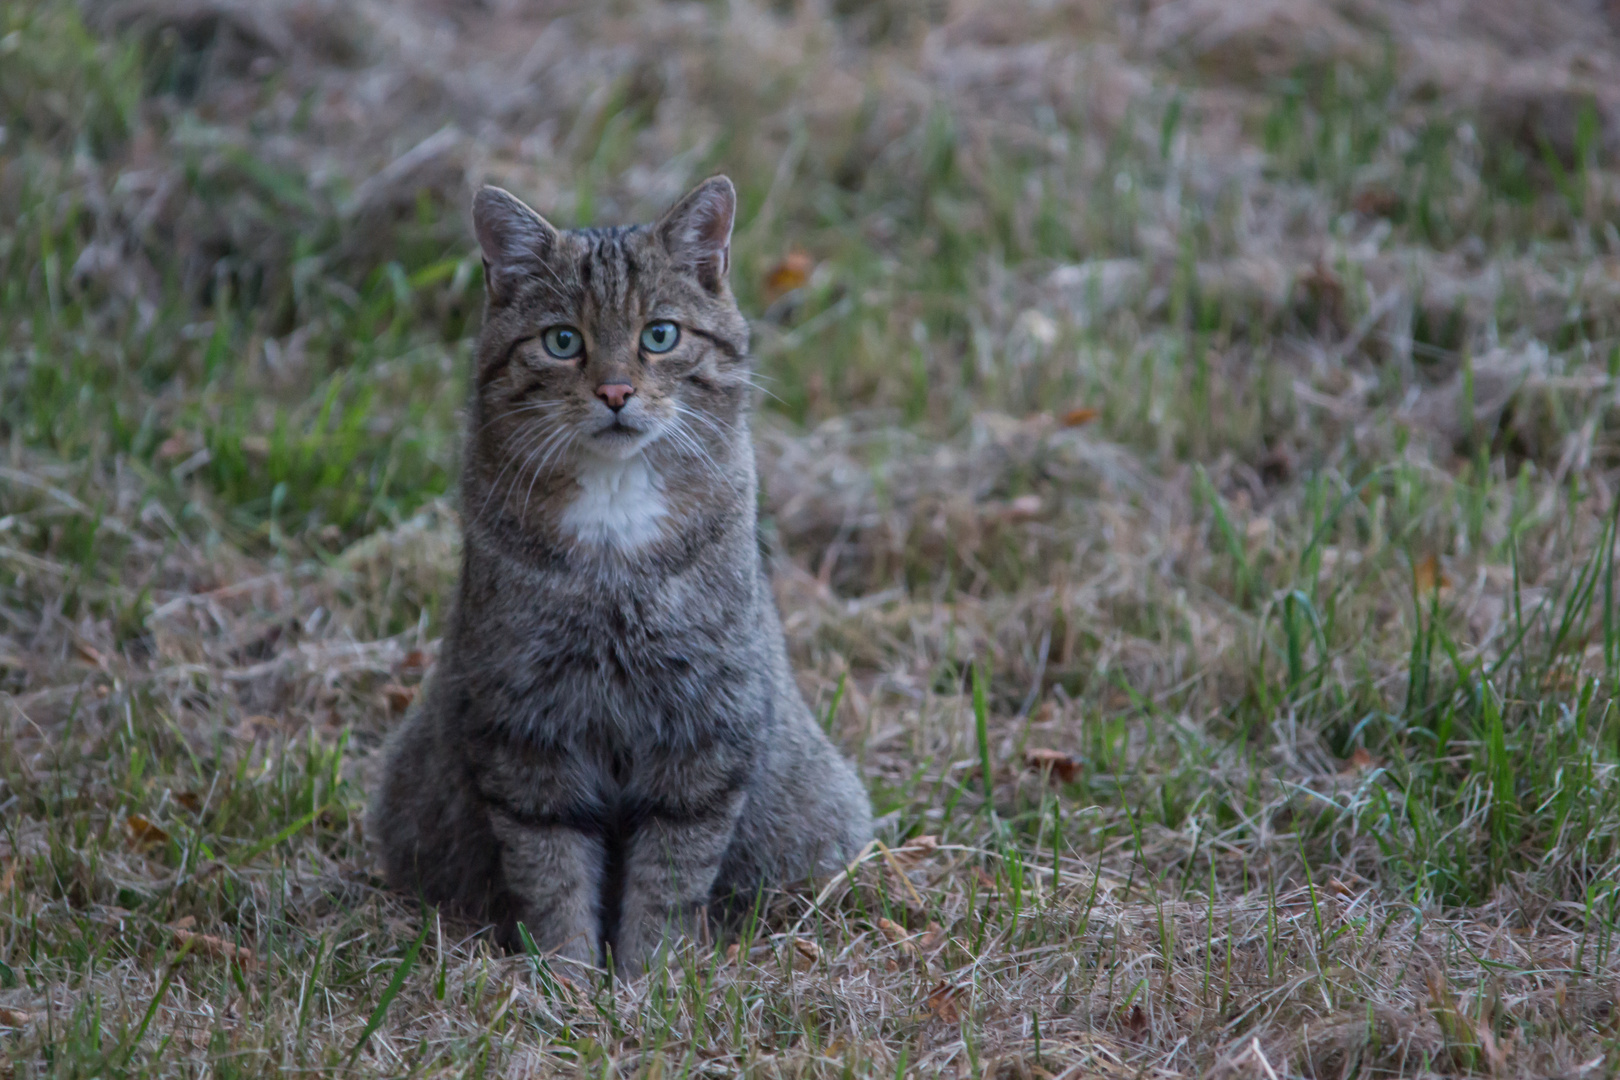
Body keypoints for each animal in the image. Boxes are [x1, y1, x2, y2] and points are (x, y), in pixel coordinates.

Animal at [370, 175, 874, 971]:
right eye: (562, 341)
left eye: (659, 335)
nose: (614, 393)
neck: (613, 519)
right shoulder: (524, 725)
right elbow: (550, 867)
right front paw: (567, 978)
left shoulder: (705, 725)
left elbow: (671, 871)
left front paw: (650, 977)